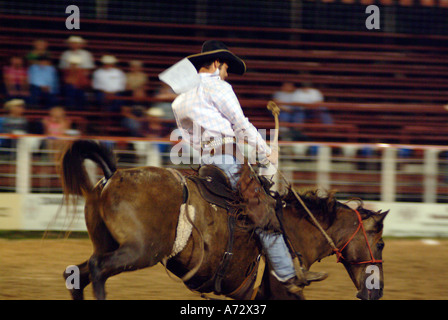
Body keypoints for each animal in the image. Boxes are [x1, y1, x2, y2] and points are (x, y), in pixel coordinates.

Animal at [61, 139, 386, 300]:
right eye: (381, 244)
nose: (377, 291)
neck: (295, 231)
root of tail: (112, 175)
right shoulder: (282, 291)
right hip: (140, 251)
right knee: (97, 269)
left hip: (109, 245)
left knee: (76, 274)